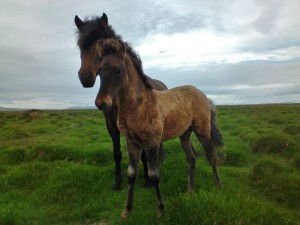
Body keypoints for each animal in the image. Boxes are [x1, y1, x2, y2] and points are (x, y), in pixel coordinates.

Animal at [73, 12, 166, 190]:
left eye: (99, 43)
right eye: (80, 45)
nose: (84, 77)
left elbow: (143, 155)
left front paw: (147, 179)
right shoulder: (111, 125)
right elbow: (117, 154)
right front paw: (117, 182)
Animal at [95, 38, 224, 218]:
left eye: (118, 71)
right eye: (99, 71)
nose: (101, 103)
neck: (138, 107)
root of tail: (203, 94)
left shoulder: (152, 143)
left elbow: (154, 175)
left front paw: (161, 210)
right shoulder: (132, 143)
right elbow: (131, 174)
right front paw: (126, 210)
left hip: (202, 130)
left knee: (211, 155)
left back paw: (218, 185)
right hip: (185, 134)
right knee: (191, 158)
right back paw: (190, 190)